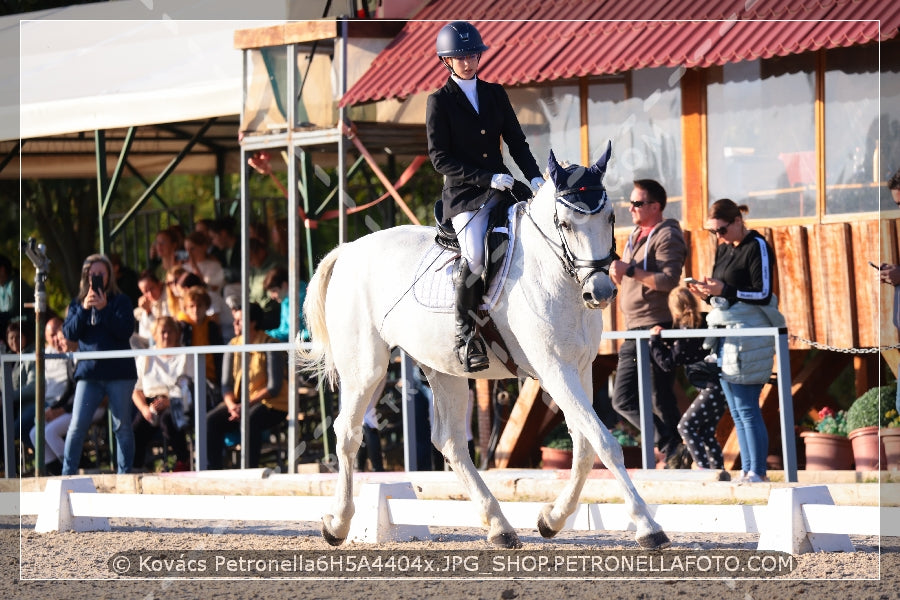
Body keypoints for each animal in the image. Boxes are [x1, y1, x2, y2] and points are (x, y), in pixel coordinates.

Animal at [300, 144, 668, 548]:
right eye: (566, 224)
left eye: (610, 217)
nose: (600, 292)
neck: (555, 274)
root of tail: (348, 249)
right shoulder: (554, 369)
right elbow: (604, 442)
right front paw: (648, 526)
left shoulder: (580, 367)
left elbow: (585, 446)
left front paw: (551, 519)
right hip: (366, 369)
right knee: (348, 433)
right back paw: (338, 524)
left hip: (444, 369)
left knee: (450, 441)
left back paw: (499, 526)